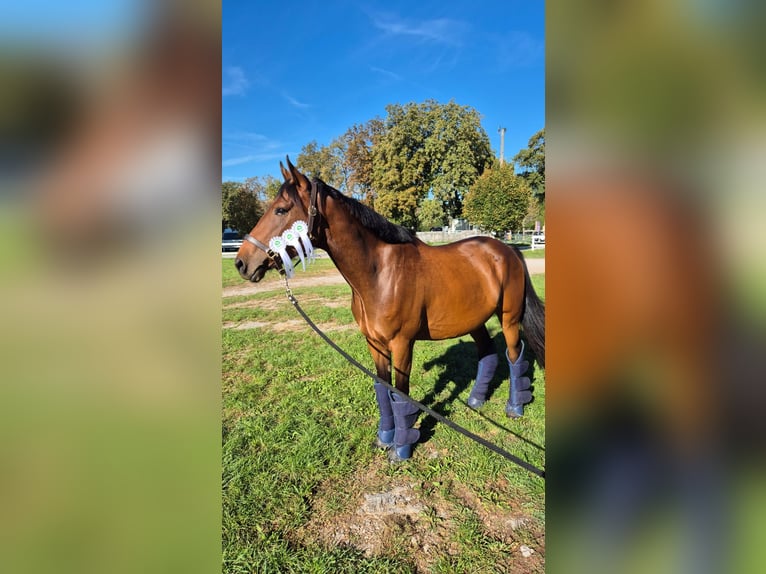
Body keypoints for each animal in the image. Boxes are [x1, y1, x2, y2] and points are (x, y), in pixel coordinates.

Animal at [234, 157, 545, 462]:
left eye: (281, 210)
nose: (242, 263)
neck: (380, 274)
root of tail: (507, 250)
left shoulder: (402, 344)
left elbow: (401, 394)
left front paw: (401, 449)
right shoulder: (375, 343)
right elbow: (383, 391)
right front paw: (384, 439)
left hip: (509, 318)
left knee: (514, 355)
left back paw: (515, 407)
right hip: (474, 320)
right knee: (488, 353)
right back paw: (476, 400)